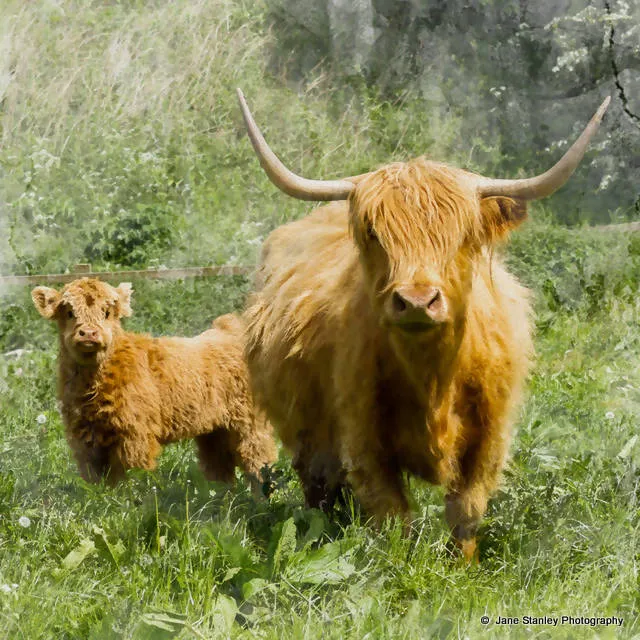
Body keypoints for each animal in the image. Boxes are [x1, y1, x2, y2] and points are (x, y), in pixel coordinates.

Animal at [33, 278, 276, 488]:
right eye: (69, 312)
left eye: (107, 312)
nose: (89, 333)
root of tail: (230, 330)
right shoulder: (84, 440)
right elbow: (97, 480)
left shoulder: (134, 436)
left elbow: (130, 477)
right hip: (214, 431)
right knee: (219, 466)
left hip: (249, 425)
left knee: (258, 461)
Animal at [238, 89, 608, 560]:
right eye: (373, 233)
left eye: (464, 235)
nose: (416, 301)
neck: (432, 376)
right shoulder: (363, 437)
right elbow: (392, 516)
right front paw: (400, 567)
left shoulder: (490, 438)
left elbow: (466, 509)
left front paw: (460, 567)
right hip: (305, 431)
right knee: (320, 491)